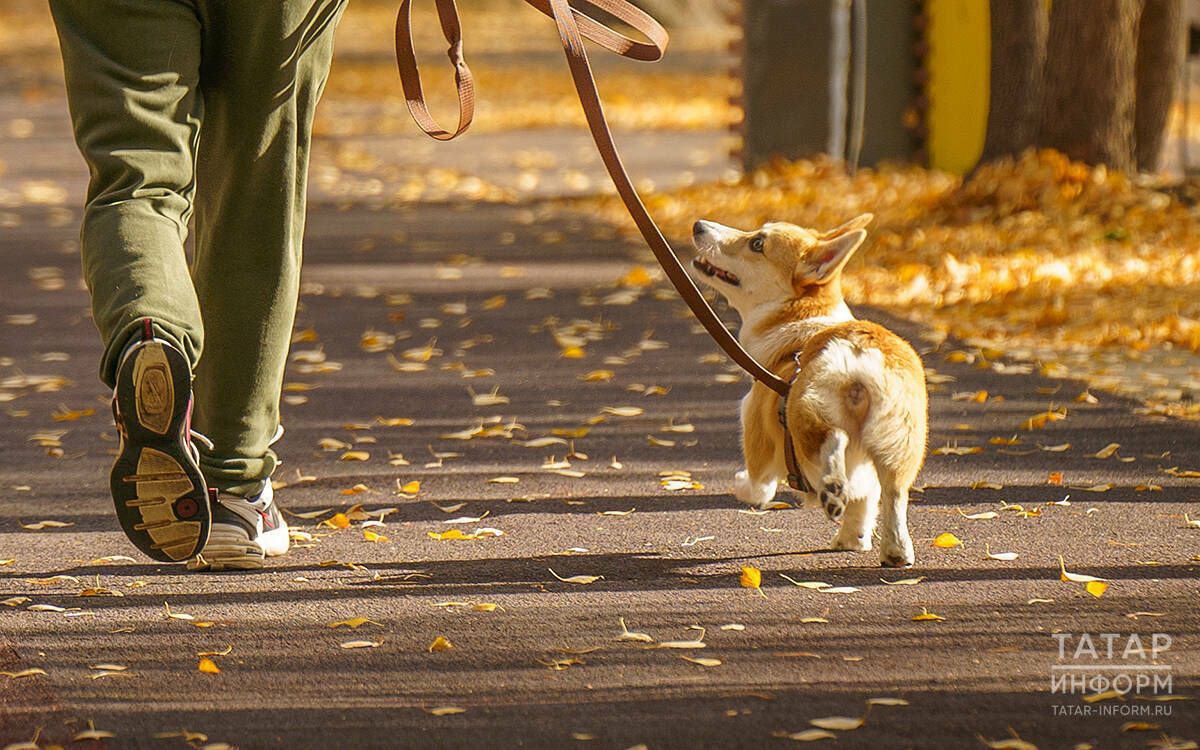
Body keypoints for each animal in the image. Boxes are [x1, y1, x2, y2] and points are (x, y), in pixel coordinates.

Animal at [686, 213, 926, 564]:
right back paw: (895, 550)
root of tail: (860, 355)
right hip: (902, 442)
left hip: (806, 415)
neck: (800, 322)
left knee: (831, 441)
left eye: (757, 242)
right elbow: (864, 504)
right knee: (894, 492)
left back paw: (832, 488)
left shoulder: (755, 428)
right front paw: (851, 540)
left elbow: (759, 487)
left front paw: (741, 485)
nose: (698, 225)